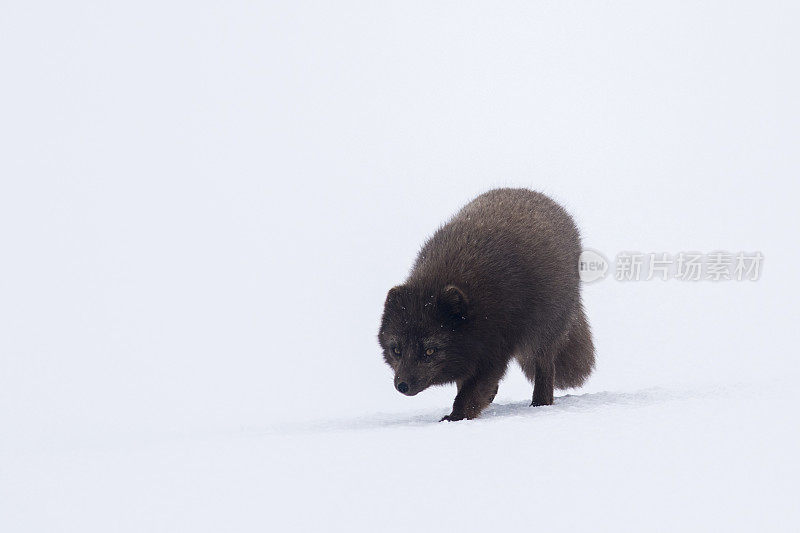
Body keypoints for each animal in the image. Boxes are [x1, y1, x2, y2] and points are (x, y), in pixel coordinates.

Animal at [376, 187, 592, 420]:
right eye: (396, 350)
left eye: (430, 351)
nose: (402, 385)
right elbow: (464, 384)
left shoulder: (493, 351)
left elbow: (469, 393)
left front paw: (456, 417)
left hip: (546, 332)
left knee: (544, 367)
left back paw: (540, 404)